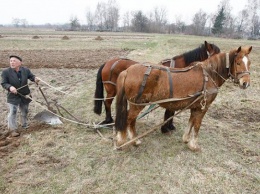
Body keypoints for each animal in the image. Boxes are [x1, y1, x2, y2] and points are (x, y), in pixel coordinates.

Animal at [115, 45, 252, 152]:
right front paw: (194, 145)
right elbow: (197, 125)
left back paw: (133, 140)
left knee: (131, 120)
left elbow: (191, 122)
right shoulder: (203, 107)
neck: (209, 74)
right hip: (138, 104)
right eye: (238, 63)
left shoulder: (195, 106)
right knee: (128, 120)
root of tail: (127, 71)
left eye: (249, 63)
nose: (245, 83)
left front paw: (186, 139)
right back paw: (125, 141)